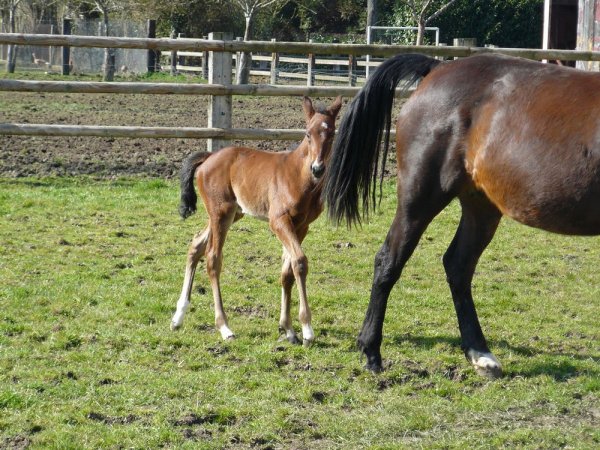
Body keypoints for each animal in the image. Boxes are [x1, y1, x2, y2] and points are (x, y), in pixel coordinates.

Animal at [172, 96, 342, 346]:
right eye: (308, 134)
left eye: (331, 134)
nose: (318, 168)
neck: (299, 176)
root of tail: (209, 157)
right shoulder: (278, 221)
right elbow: (300, 262)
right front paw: (307, 329)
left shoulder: (302, 226)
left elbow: (287, 271)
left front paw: (288, 329)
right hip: (221, 212)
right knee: (212, 258)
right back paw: (224, 327)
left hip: (233, 213)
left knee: (195, 245)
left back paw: (178, 317)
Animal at [326, 51, 600, 378]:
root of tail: (439, 67)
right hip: (420, 198)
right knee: (389, 261)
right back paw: (371, 350)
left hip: (481, 206)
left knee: (458, 265)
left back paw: (480, 353)